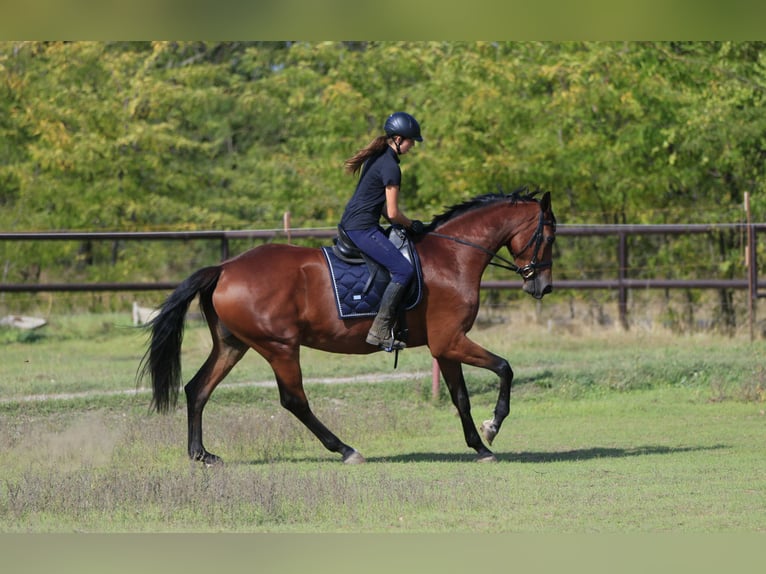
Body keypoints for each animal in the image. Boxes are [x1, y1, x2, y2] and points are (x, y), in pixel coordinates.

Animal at [140, 189, 560, 468]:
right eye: (550, 236)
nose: (542, 287)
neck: (453, 256)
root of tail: (225, 268)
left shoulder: (444, 347)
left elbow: (461, 398)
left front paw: (480, 446)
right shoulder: (452, 341)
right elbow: (505, 368)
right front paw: (493, 427)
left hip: (233, 345)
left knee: (198, 389)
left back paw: (201, 455)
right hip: (280, 347)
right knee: (294, 401)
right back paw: (345, 450)